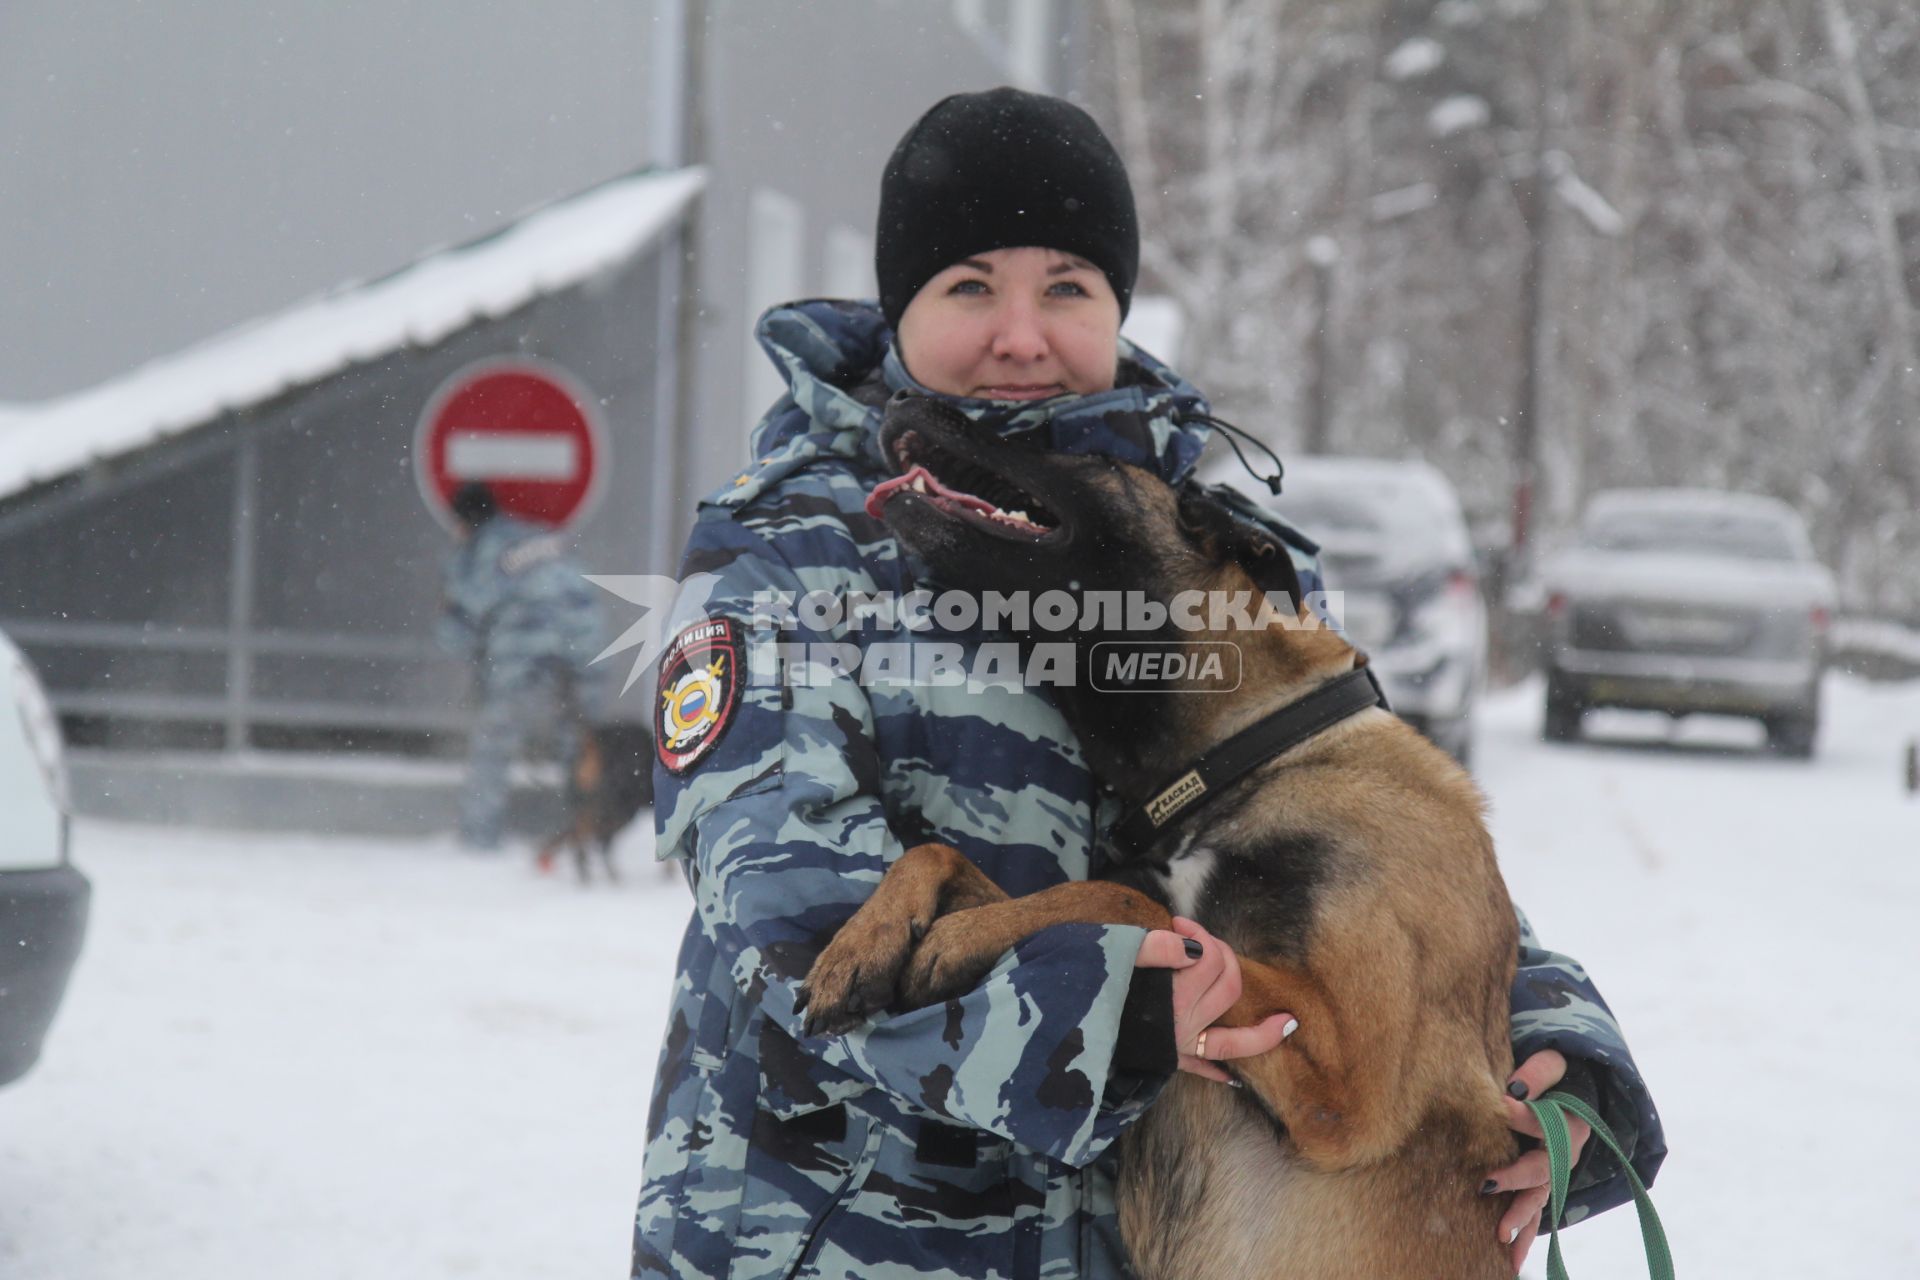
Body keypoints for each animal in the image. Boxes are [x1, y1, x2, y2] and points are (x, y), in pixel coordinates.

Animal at [794, 401, 1512, 1280]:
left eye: (1090, 457)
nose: (903, 403)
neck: (1251, 754)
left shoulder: (1347, 1080)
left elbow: (1127, 898)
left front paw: (957, 938)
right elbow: (949, 855)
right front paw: (860, 947)